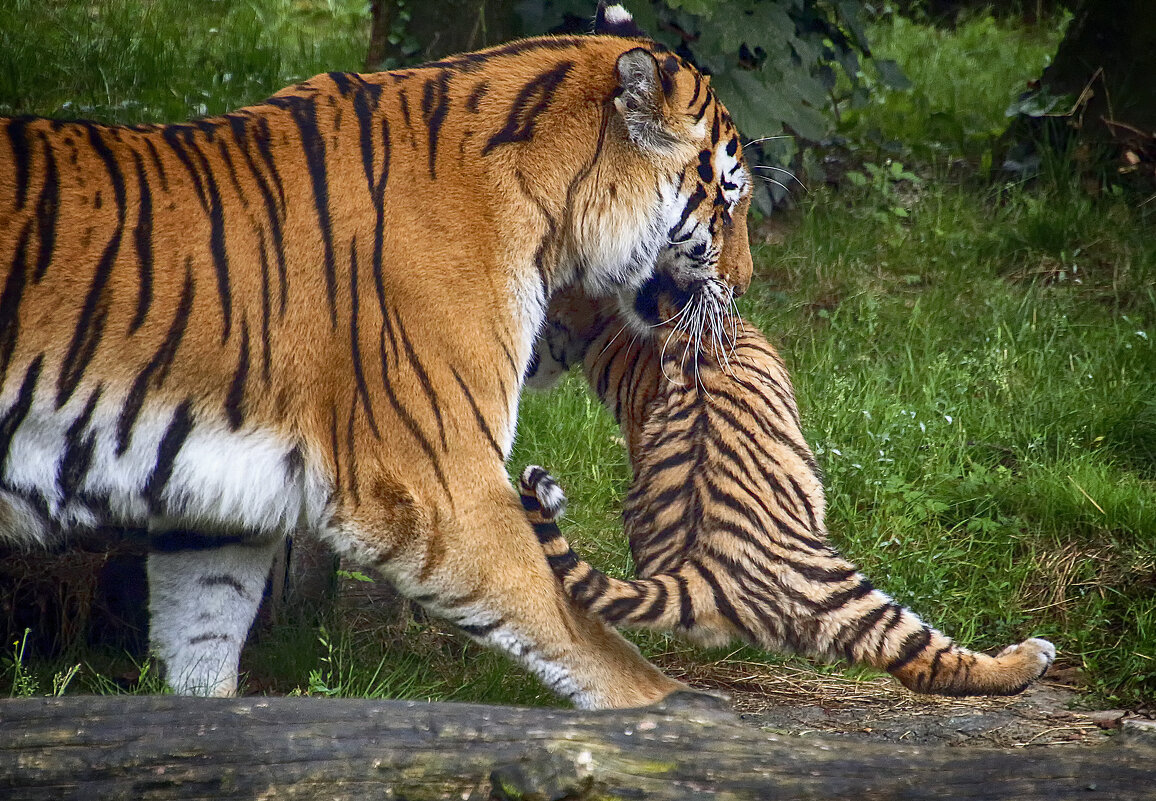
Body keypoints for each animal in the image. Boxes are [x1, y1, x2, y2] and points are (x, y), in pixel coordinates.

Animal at [0, 6, 753, 707]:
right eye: (731, 196)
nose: (745, 283)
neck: (548, 207)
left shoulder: (215, 503)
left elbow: (204, 640)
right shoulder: (441, 486)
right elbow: (573, 619)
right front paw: (678, 711)